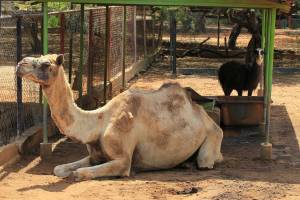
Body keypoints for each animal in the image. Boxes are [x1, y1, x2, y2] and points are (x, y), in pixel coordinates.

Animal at [16, 54, 223, 180]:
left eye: (46, 64)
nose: (20, 64)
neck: (98, 123)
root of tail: (206, 116)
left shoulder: (123, 161)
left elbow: (80, 173)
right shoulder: (96, 155)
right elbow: (58, 169)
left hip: (213, 136)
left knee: (206, 161)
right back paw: (185, 164)